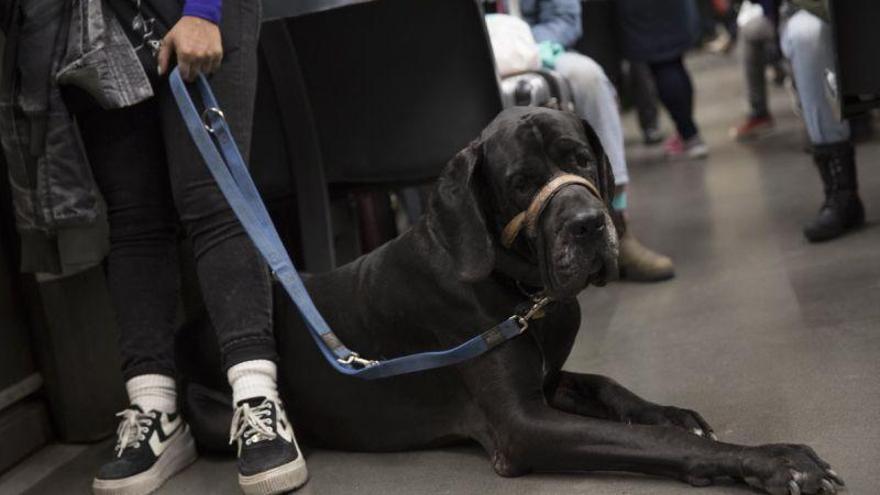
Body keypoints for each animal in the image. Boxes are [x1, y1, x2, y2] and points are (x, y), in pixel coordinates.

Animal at [177, 106, 840, 494]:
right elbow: (660, 446)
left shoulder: (547, 381)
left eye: (580, 159)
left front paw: (672, 413)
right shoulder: (523, 425)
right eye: (521, 183)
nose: (588, 224)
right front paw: (774, 460)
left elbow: (609, 385)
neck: (522, 289)